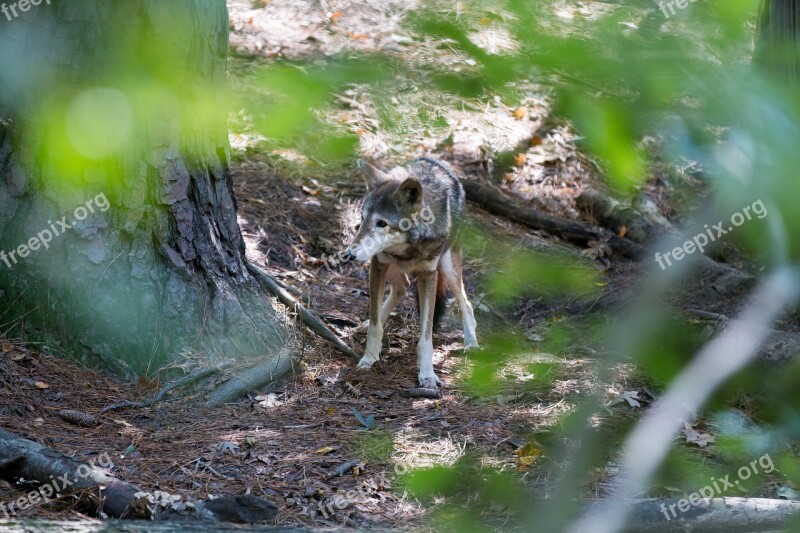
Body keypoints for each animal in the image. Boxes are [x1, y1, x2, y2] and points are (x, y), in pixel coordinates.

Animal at [342, 156, 478, 388]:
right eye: (362, 218)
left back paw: (472, 344)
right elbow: (375, 326)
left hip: (447, 267)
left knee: (465, 302)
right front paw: (369, 360)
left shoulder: (429, 275)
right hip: (386, 267)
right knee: (402, 287)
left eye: (382, 223)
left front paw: (427, 375)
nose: (349, 254)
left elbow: (426, 338)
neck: (407, 247)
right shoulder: (378, 264)